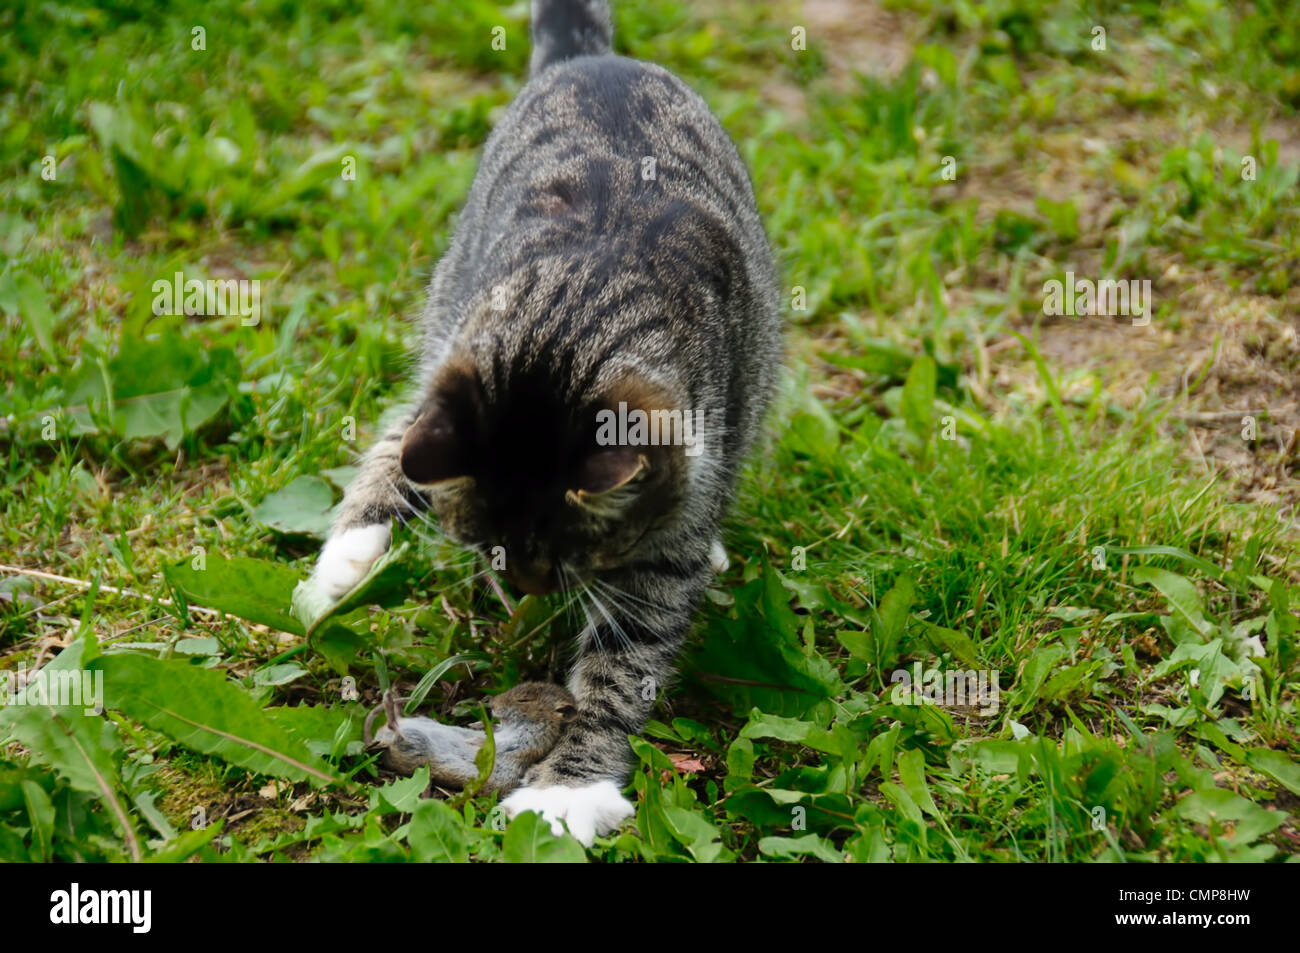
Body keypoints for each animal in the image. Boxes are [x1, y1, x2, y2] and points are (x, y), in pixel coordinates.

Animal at [299, 0, 774, 842]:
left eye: (563, 552)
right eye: (487, 543)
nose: (525, 588)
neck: (573, 322)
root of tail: (589, 62)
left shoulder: (669, 530)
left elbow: (623, 666)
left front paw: (568, 789)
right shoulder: (454, 362)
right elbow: (390, 447)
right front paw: (345, 563)